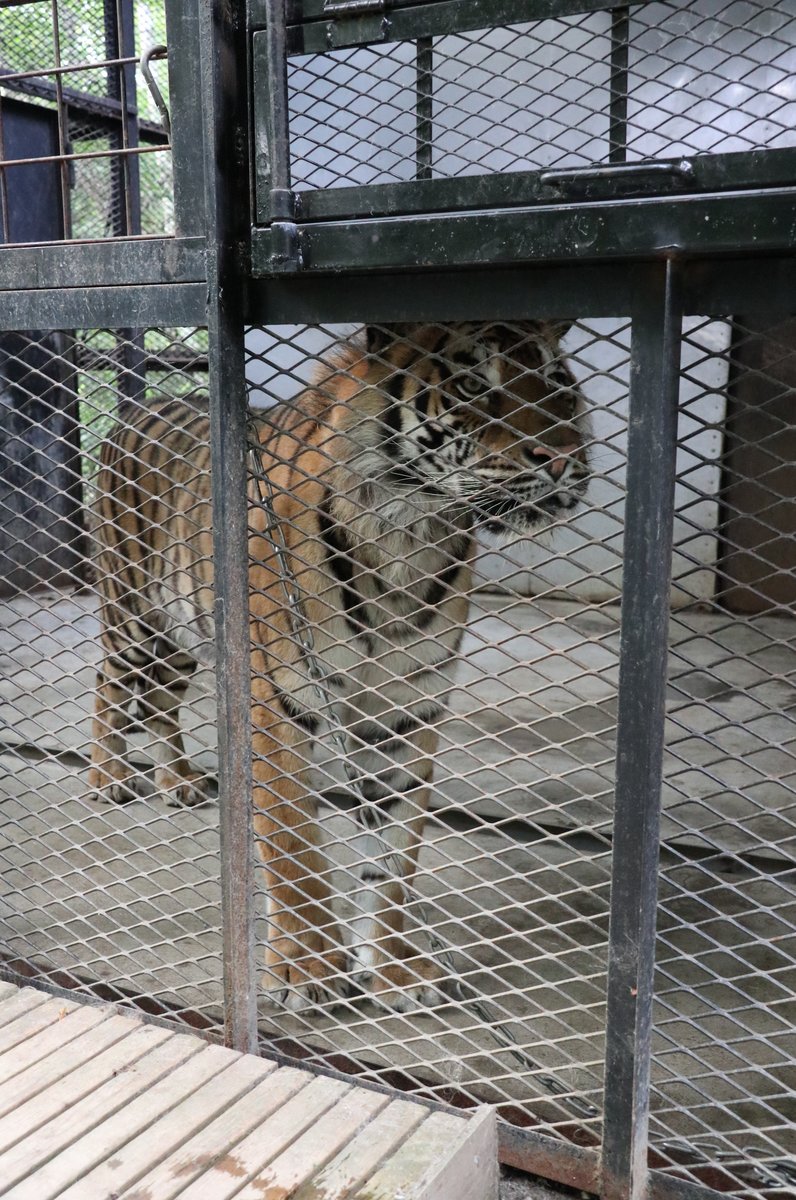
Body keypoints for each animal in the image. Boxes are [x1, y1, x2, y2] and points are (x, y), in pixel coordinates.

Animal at [90, 321, 588, 1012]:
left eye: (557, 379)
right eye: (471, 383)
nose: (564, 456)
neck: (408, 537)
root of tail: (134, 410)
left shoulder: (407, 708)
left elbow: (396, 854)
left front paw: (396, 967)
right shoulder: (277, 698)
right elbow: (293, 838)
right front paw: (308, 968)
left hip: (186, 636)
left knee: (162, 703)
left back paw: (180, 781)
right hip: (134, 615)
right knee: (109, 684)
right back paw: (108, 776)